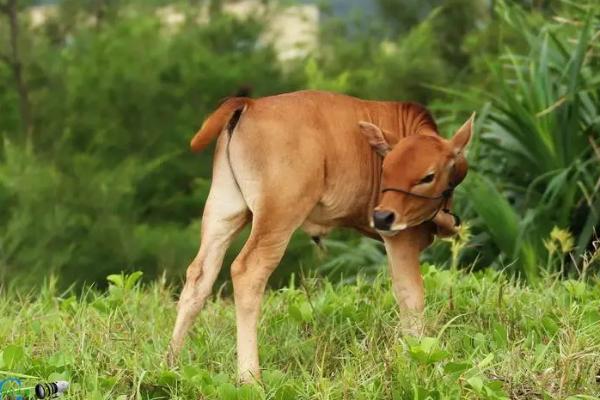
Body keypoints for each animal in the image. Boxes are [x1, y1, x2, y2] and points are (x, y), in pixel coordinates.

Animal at [166, 90, 472, 382]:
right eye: (385, 169)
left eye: (428, 176)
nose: (382, 216)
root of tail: (250, 104)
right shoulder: (401, 237)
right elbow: (411, 296)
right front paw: (419, 359)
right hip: (278, 216)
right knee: (248, 272)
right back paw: (250, 378)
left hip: (223, 210)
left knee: (199, 276)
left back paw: (170, 364)